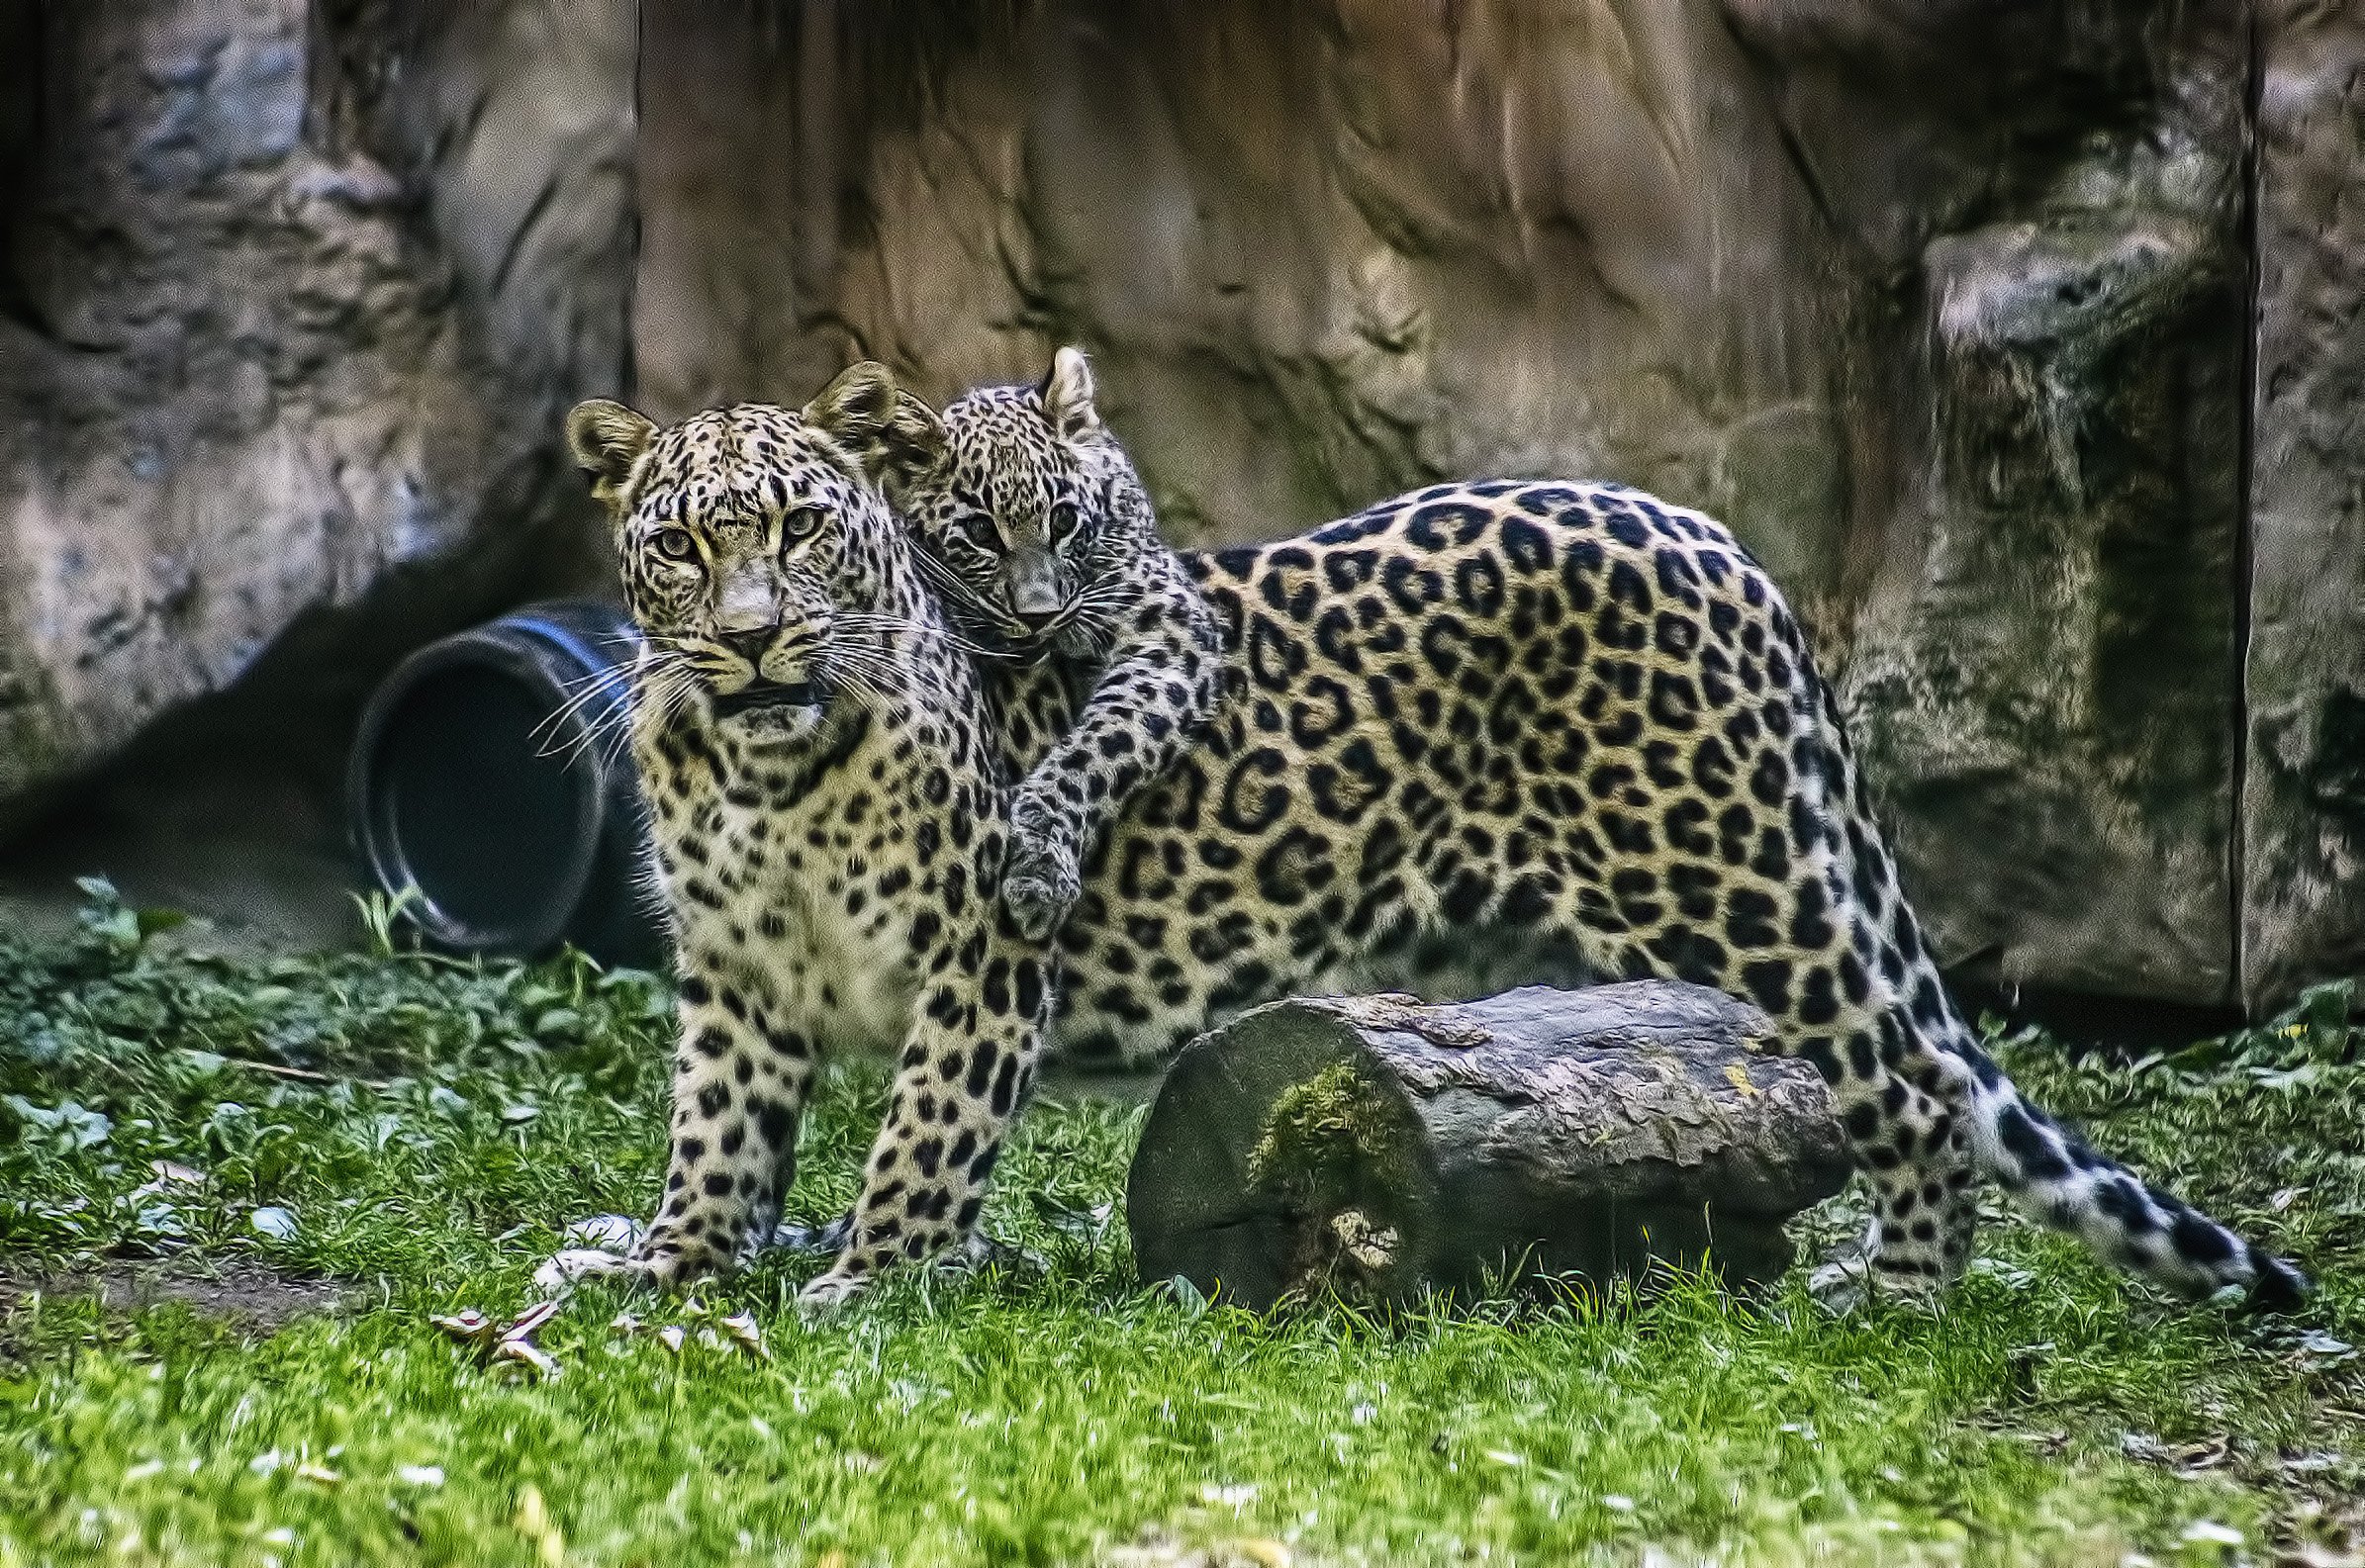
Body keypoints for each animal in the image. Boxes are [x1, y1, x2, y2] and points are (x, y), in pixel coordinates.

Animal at [889, 347, 2308, 1315]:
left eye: (1062, 524)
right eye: (975, 534)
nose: (1032, 614)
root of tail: (1725, 548)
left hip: (1731, 879)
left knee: (1914, 1084)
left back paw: (1898, 1292)